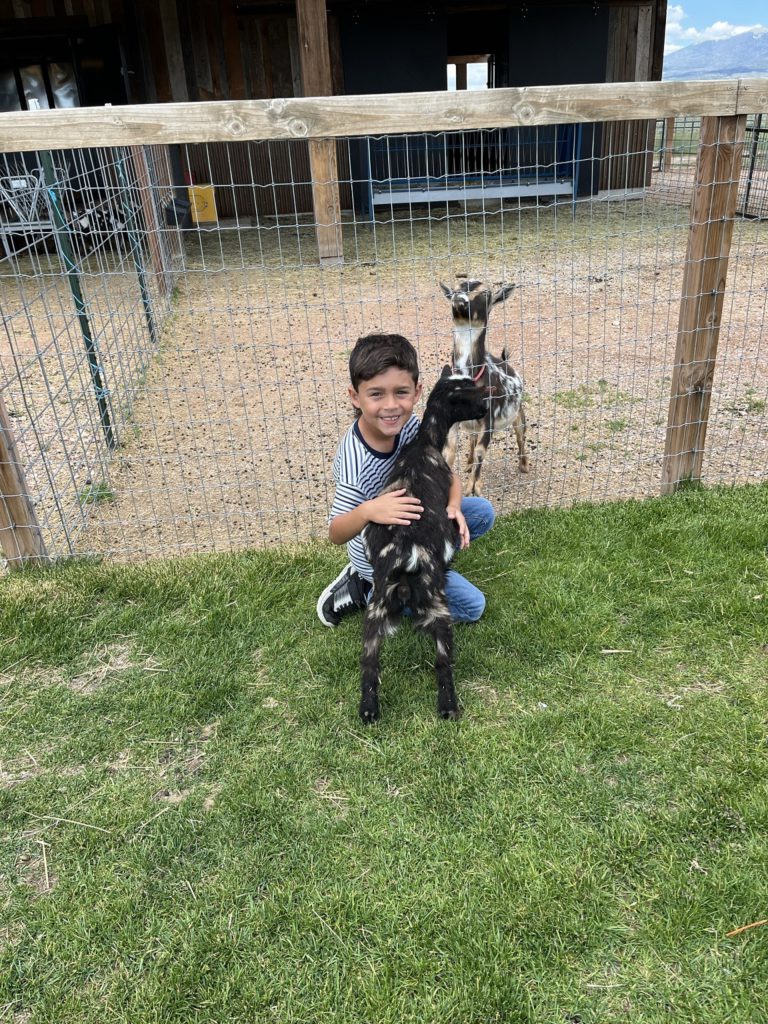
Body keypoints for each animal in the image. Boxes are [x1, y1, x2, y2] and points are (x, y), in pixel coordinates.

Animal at [360, 368, 487, 720]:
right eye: (471, 396)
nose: (487, 408)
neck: (425, 441)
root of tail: (406, 556)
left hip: (375, 610)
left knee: (369, 662)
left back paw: (368, 710)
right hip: (438, 606)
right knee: (443, 662)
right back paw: (448, 707)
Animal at [438, 276, 528, 491]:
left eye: (486, 294)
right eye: (454, 289)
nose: (459, 300)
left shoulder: (489, 420)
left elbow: (481, 451)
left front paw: (473, 488)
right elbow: (449, 452)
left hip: (519, 413)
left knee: (521, 435)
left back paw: (524, 465)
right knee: (471, 439)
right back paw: (468, 464)